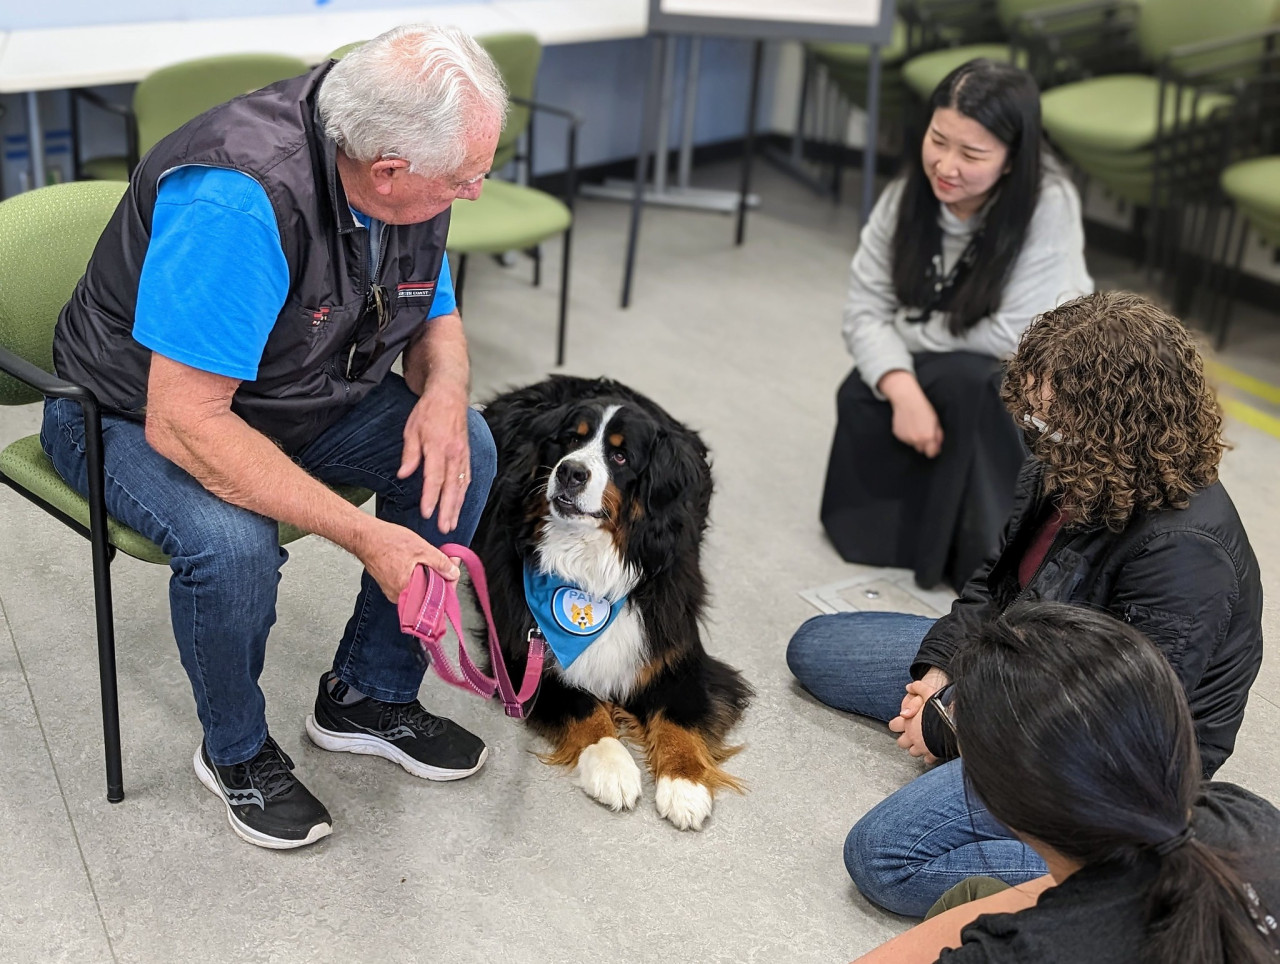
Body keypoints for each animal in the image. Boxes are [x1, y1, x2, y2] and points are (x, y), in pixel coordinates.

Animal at [471, 373, 747, 829]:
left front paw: (685, 784)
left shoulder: (674, 654)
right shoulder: (522, 657)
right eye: (570, 439)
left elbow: (680, 717)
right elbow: (585, 707)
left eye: (620, 456)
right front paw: (612, 767)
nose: (570, 472)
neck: (590, 569)